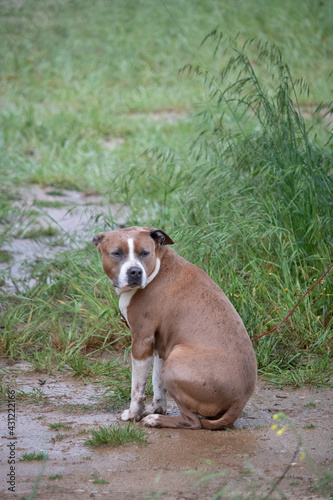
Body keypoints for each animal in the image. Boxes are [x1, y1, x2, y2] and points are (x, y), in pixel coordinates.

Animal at [93, 227, 256, 430]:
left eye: (145, 253)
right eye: (116, 253)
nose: (135, 272)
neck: (158, 266)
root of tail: (239, 401)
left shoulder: (141, 341)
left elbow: (137, 388)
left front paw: (134, 414)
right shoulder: (160, 346)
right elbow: (157, 383)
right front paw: (155, 408)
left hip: (175, 364)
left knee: (192, 421)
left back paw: (157, 421)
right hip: (172, 357)